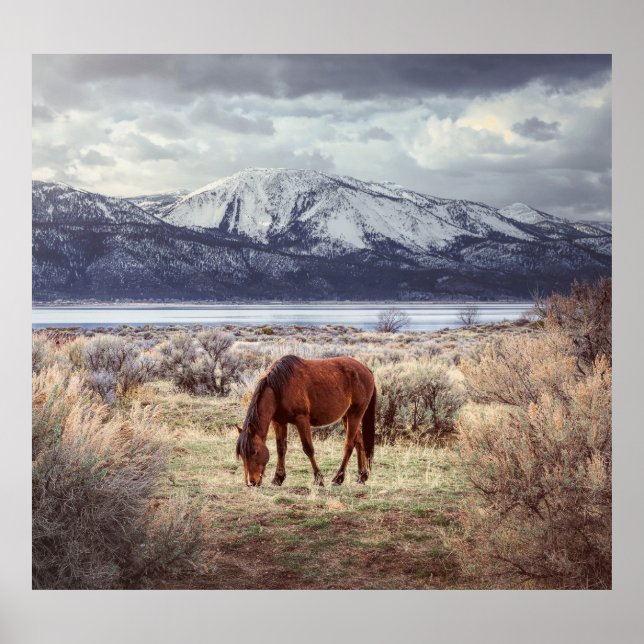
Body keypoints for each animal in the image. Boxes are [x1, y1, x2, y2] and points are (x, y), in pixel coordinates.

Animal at [235, 355, 376, 487]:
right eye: (242, 454)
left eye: (254, 452)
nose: (252, 482)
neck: (280, 388)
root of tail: (367, 370)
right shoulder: (279, 422)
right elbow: (281, 448)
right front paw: (278, 478)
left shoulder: (301, 419)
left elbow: (308, 448)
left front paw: (319, 479)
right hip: (346, 416)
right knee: (359, 442)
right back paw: (362, 476)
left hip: (355, 414)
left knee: (349, 445)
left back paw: (338, 478)